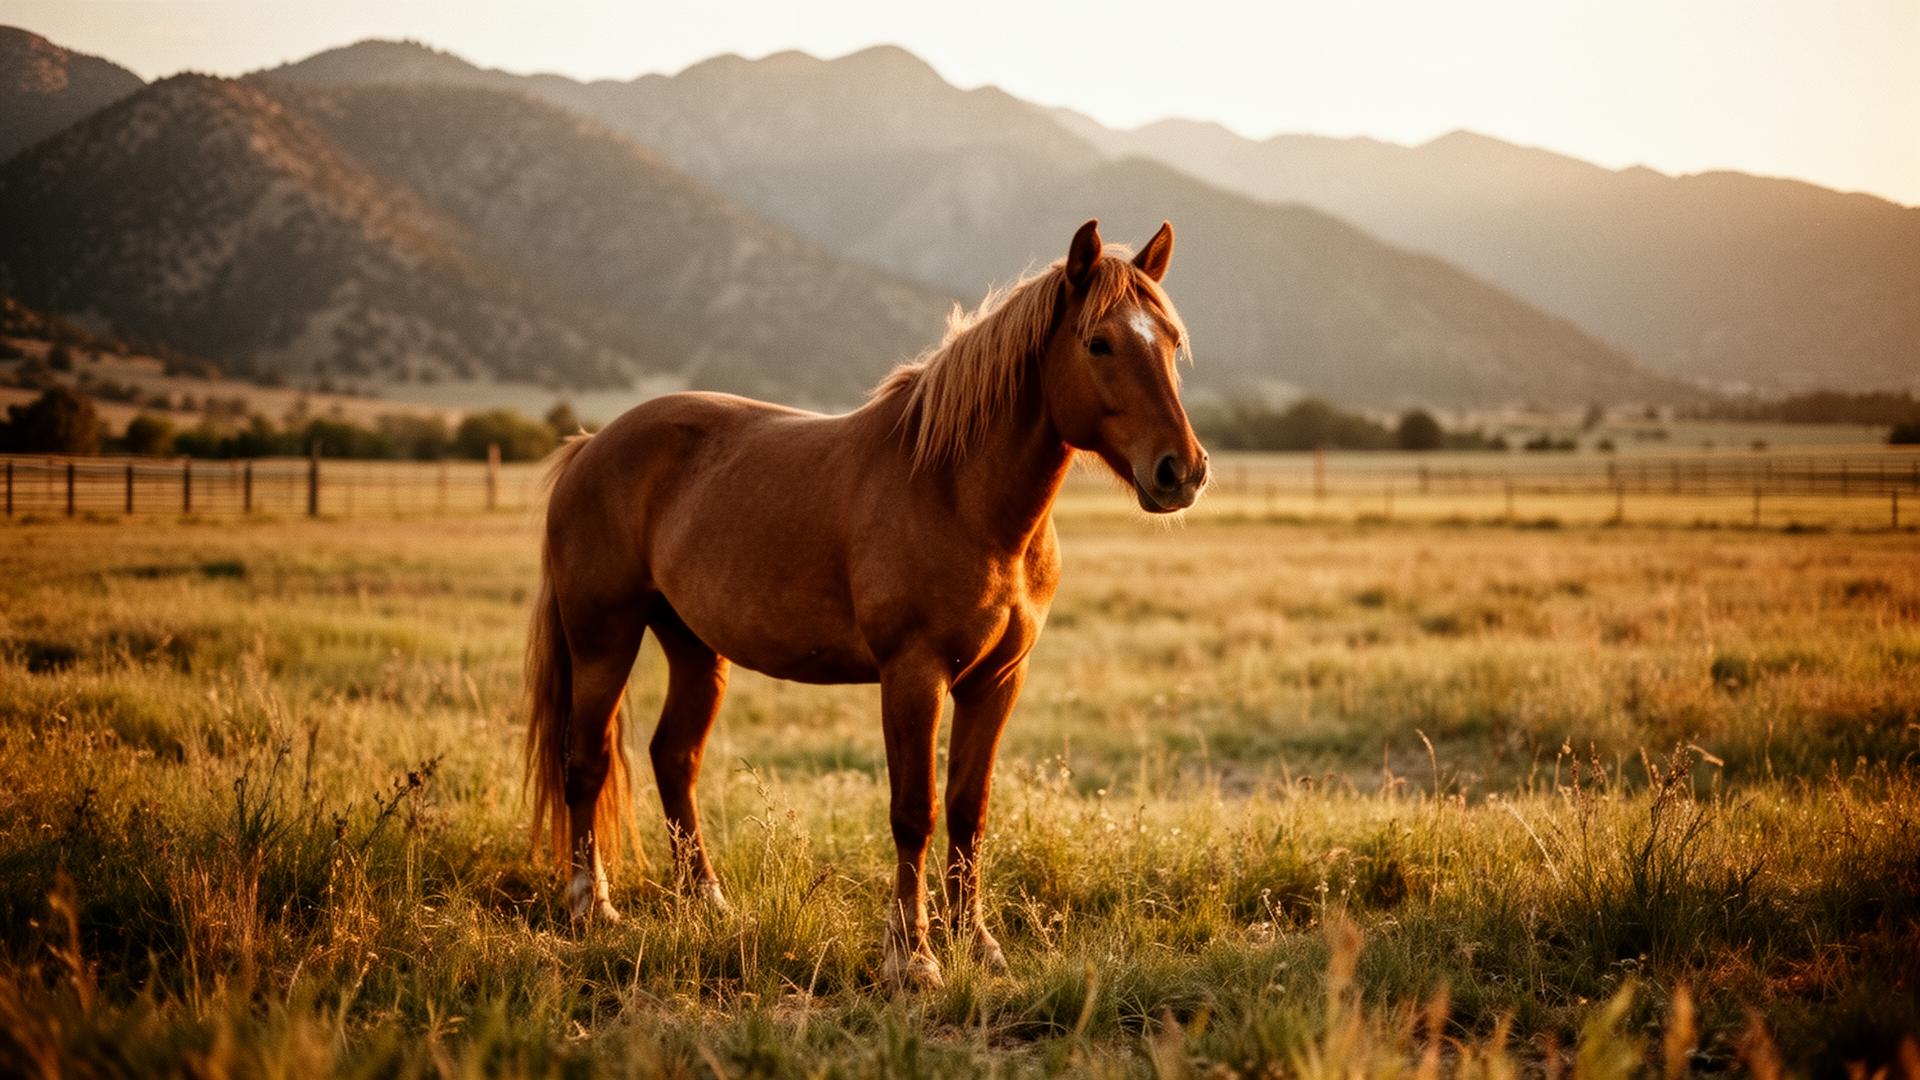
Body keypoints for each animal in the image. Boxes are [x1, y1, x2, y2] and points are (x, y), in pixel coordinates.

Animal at [524, 218, 1208, 991]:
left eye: (1171, 341)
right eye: (1099, 343)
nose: (1181, 471)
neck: (958, 494)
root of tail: (589, 447)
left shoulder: (997, 680)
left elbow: (969, 810)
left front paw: (978, 944)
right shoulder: (913, 675)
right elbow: (915, 812)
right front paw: (912, 958)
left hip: (695, 649)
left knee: (675, 758)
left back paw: (708, 903)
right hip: (603, 638)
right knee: (585, 761)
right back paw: (593, 907)